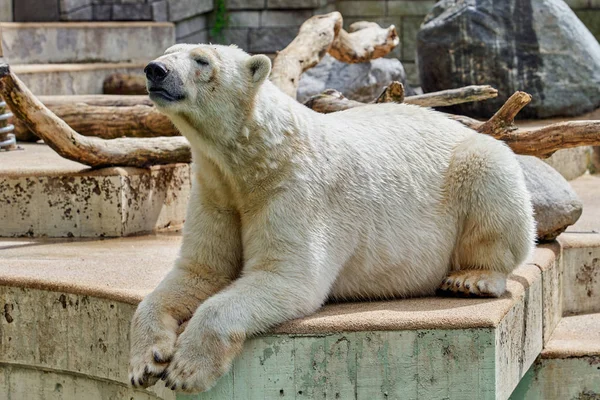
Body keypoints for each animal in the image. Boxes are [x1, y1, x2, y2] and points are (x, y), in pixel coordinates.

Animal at [130, 43, 536, 394]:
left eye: (201, 60)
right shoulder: (216, 191)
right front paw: (146, 361)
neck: (256, 158)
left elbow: (287, 276)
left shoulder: (295, 191)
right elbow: (200, 273)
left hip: (473, 165)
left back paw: (471, 278)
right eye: (168, 52)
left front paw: (185, 369)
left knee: (491, 181)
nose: (155, 69)